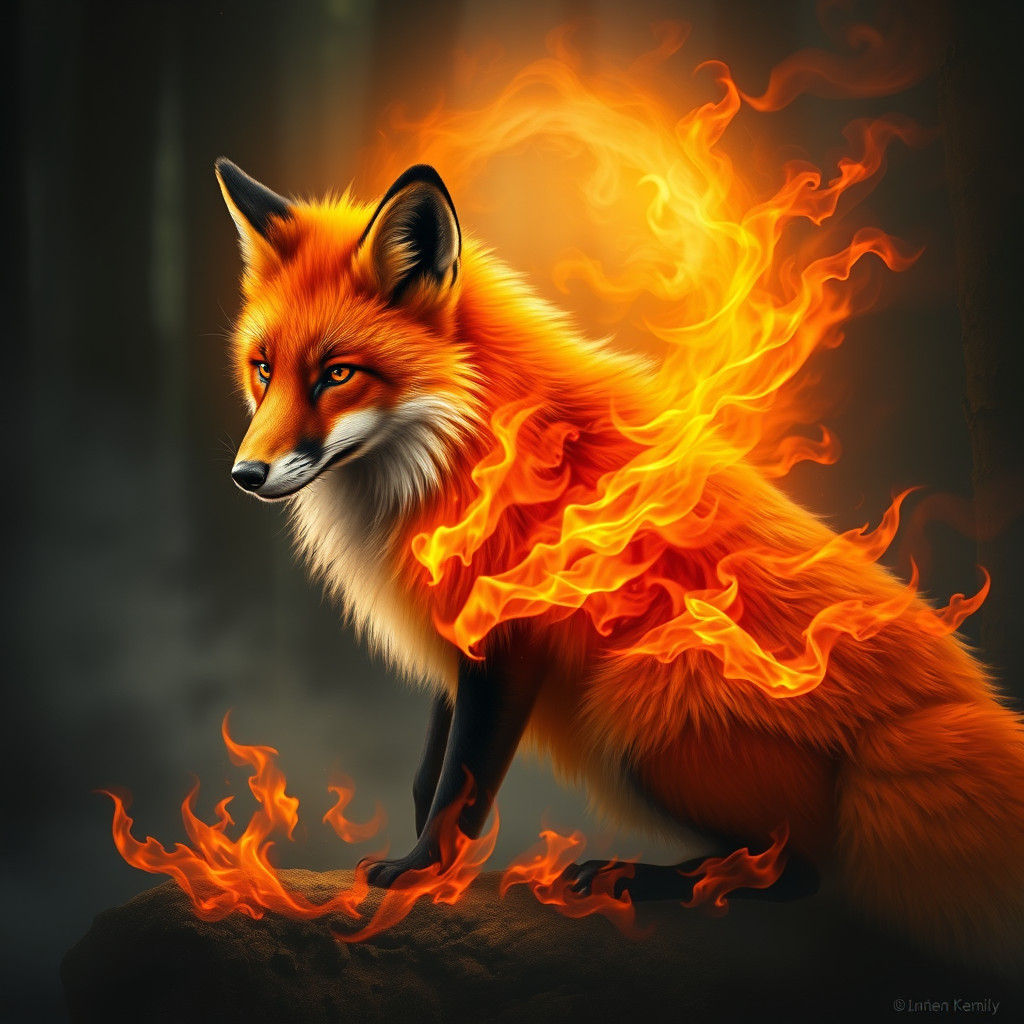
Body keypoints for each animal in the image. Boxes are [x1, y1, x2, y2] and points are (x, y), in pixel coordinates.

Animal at [215, 156, 1024, 972]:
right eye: (263, 369)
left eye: (337, 374)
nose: (246, 475)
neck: (456, 447)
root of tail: (921, 720)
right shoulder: (458, 634)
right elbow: (428, 773)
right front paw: (427, 862)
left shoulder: (509, 634)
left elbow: (461, 782)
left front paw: (420, 871)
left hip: (639, 705)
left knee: (799, 872)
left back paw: (645, 877)